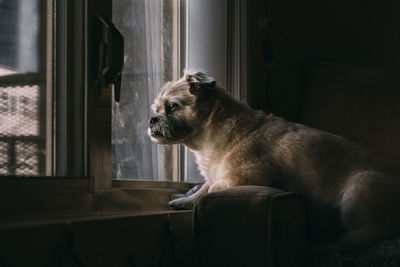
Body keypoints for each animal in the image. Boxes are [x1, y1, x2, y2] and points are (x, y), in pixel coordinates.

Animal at [148, 70, 400, 252]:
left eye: (172, 107)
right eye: (158, 108)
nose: (152, 119)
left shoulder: (244, 176)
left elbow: (212, 189)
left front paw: (191, 199)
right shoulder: (217, 173)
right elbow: (205, 186)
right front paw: (187, 197)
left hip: (357, 192)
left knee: (369, 232)